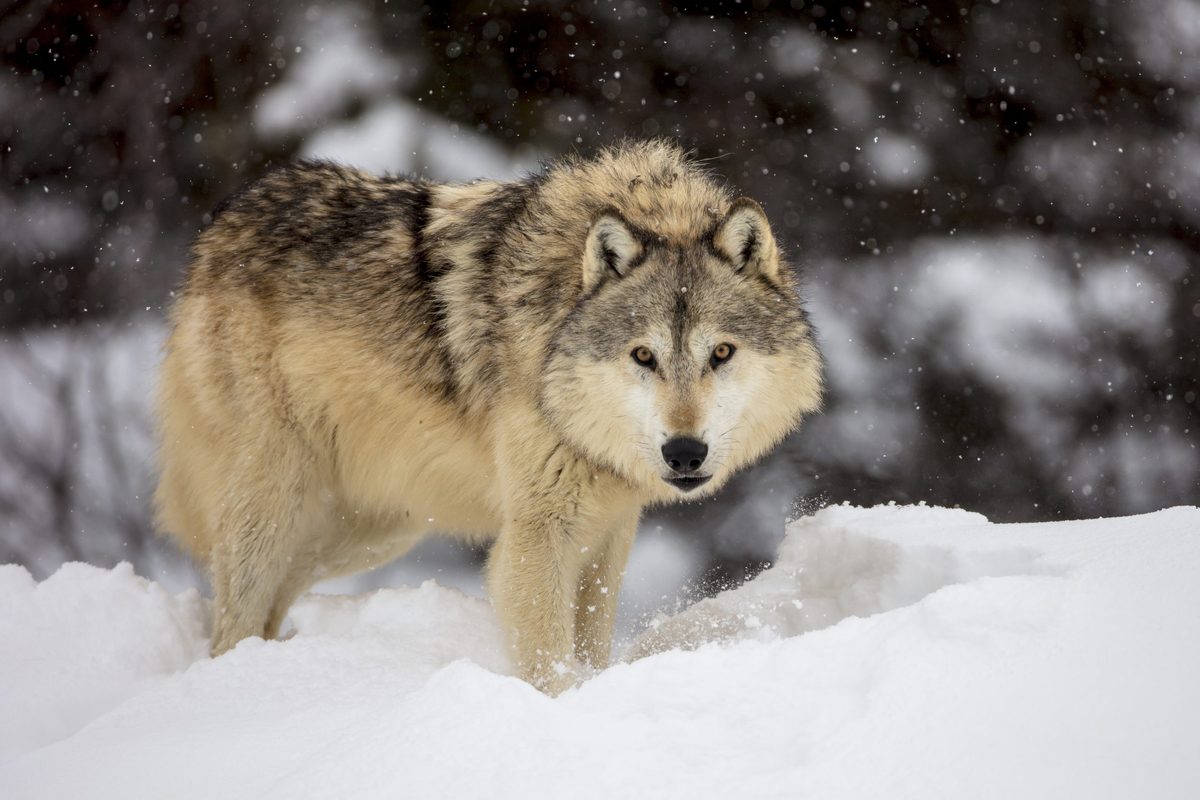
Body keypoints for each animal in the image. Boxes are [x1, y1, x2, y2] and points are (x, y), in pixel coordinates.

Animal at [155, 140, 823, 693]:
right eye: (643, 356)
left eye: (721, 353)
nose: (684, 453)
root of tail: (221, 226)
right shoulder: (537, 533)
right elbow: (549, 662)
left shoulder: (610, 532)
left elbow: (590, 641)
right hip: (277, 506)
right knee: (232, 620)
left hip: (370, 528)